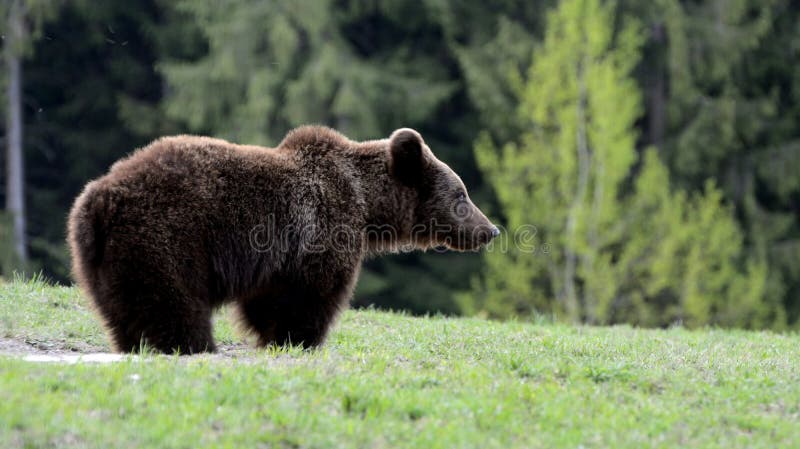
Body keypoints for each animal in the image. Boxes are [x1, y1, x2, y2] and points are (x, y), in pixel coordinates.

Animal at [67, 126, 500, 354]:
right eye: (462, 195)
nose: (490, 229)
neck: (367, 205)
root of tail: (99, 201)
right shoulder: (321, 233)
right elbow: (309, 298)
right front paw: (301, 340)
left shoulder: (275, 261)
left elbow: (265, 301)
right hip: (166, 237)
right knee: (172, 305)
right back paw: (193, 345)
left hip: (104, 262)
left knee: (125, 310)